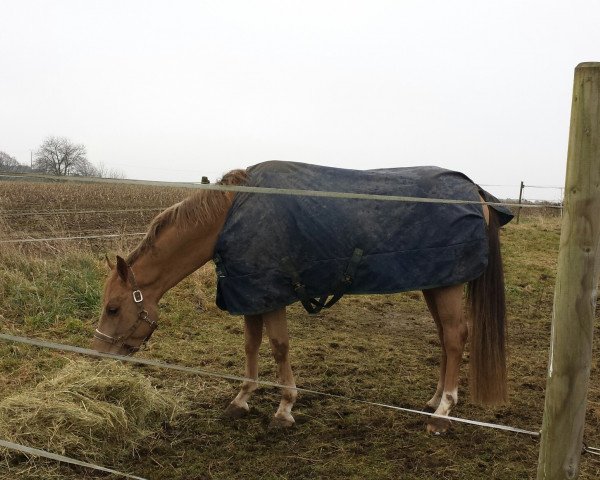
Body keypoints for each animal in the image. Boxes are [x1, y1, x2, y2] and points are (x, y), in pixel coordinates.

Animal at [92, 161, 510, 436]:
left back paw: (442, 413)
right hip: (434, 283)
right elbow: (251, 345)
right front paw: (241, 399)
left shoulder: (271, 296)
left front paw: (284, 408)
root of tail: (476, 192)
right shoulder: (251, 294)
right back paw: (434, 400)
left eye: (113, 308)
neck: (230, 219)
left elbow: (278, 347)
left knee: (455, 337)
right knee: (444, 338)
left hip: (447, 285)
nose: (97, 356)